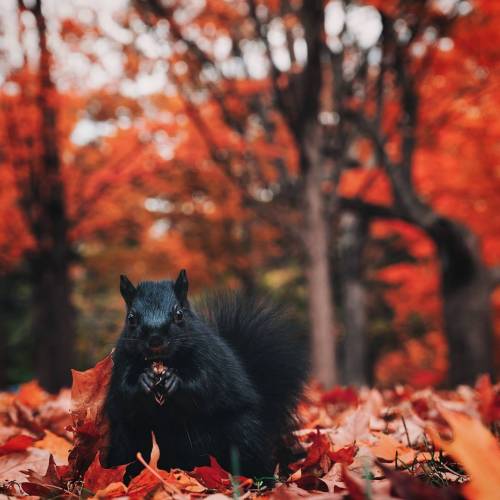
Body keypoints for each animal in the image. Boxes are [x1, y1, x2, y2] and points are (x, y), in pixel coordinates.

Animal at [104, 270, 310, 480]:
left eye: (179, 315)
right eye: (131, 318)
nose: (155, 340)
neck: (165, 362)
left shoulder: (208, 358)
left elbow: (203, 385)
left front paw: (175, 381)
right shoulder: (121, 361)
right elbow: (125, 390)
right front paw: (144, 380)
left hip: (241, 431)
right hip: (127, 438)